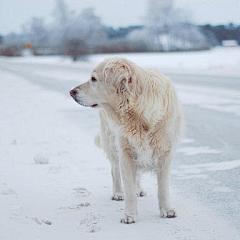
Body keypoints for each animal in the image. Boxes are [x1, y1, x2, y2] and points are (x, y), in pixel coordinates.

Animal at [70, 58, 184, 223]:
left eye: (93, 79)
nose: (71, 92)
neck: (138, 112)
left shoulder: (165, 154)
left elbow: (163, 188)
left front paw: (167, 210)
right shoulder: (126, 153)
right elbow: (128, 189)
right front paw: (130, 215)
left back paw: (139, 189)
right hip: (112, 144)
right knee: (115, 170)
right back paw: (118, 193)